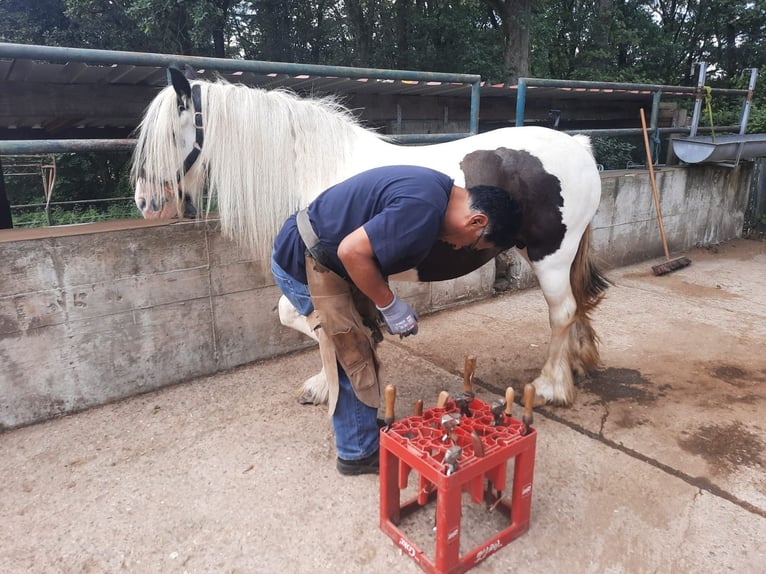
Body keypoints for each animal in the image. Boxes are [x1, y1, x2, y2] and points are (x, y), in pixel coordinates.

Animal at [134, 67, 612, 408]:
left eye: (170, 136)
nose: (145, 202)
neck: (316, 169)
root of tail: (577, 144)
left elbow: (308, 321)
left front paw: (326, 384)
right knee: (575, 307)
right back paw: (576, 365)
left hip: (550, 256)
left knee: (562, 312)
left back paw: (551, 386)